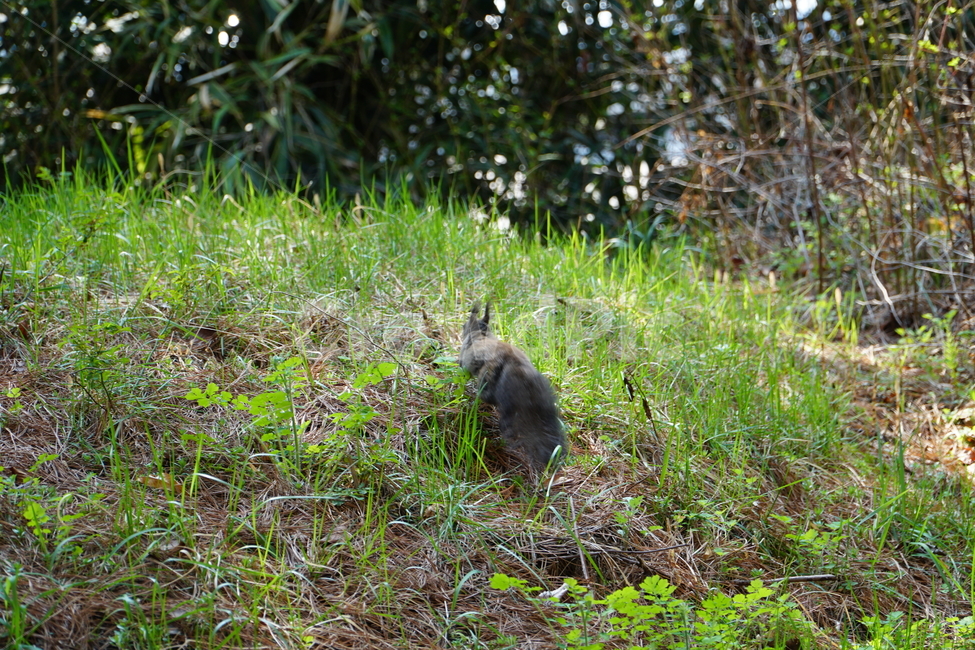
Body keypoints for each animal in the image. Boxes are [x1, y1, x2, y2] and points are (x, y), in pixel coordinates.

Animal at [458, 302, 567, 471]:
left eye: (465, 325)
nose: (462, 328)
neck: (481, 334)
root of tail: (518, 366)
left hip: (487, 376)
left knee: (488, 396)